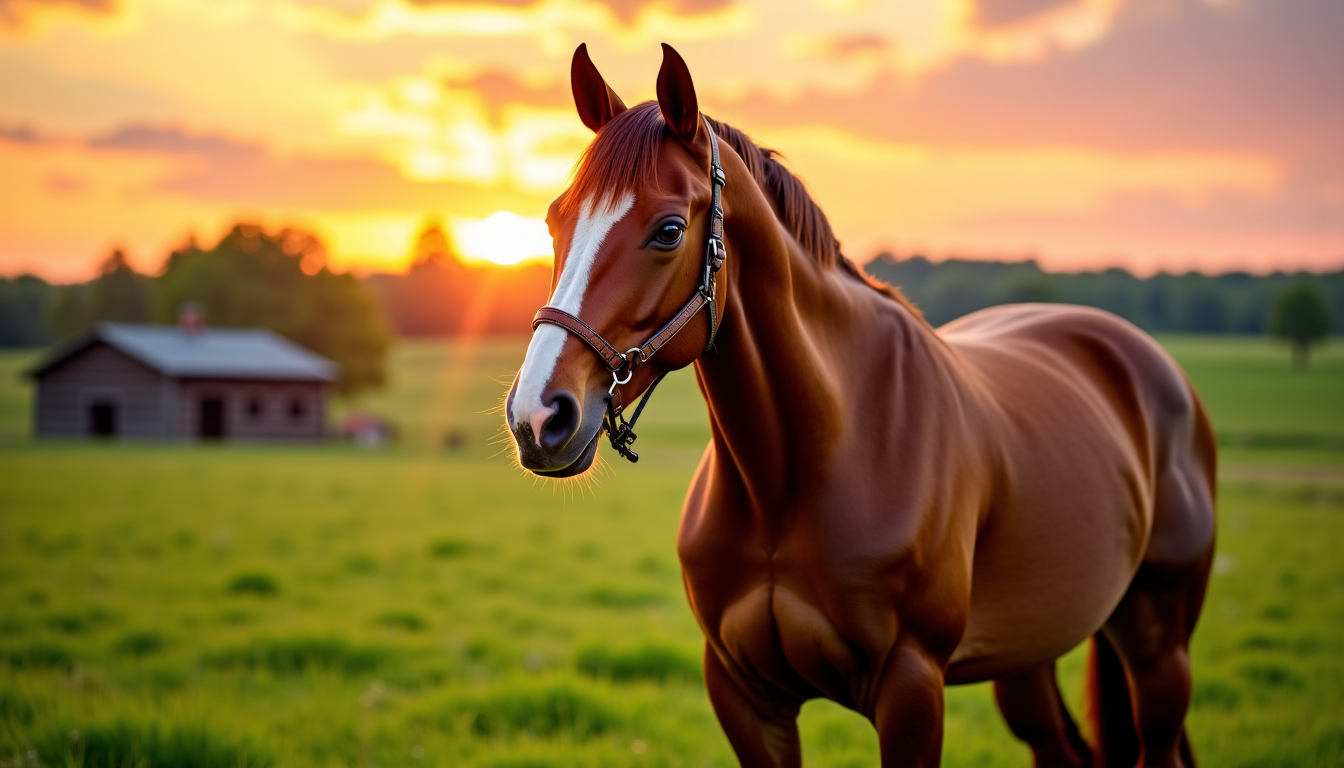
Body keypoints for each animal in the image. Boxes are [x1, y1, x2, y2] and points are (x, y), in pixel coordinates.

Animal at [505, 42, 1217, 768]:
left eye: (669, 229)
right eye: (555, 220)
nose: (538, 418)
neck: (799, 472)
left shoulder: (910, 687)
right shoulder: (744, 694)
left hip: (1158, 650)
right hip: (1028, 658)